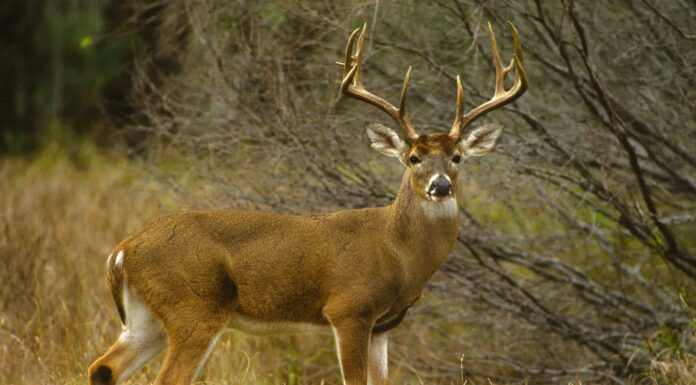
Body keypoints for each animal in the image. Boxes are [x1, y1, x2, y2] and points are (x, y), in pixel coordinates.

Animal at [88, 21, 528, 384]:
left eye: (457, 157)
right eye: (414, 158)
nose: (440, 186)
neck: (398, 251)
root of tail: (123, 249)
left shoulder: (384, 326)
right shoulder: (349, 309)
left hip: (147, 318)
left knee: (103, 368)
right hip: (194, 306)